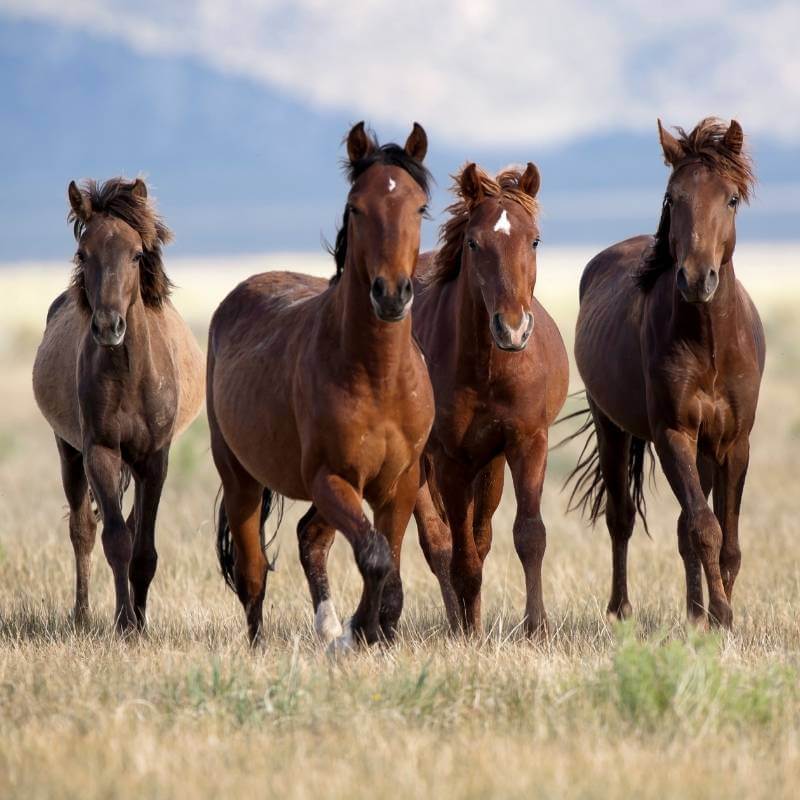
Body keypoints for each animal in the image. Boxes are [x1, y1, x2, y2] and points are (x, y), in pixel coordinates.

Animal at [32, 177, 204, 632]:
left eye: (137, 254)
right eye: (82, 253)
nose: (109, 326)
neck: (129, 374)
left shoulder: (154, 460)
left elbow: (143, 548)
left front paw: (138, 622)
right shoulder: (101, 452)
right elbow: (115, 541)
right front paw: (125, 624)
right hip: (68, 451)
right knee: (83, 530)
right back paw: (82, 616)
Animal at [207, 122, 434, 649]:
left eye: (419, 207)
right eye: (356, 207)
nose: (391, 294)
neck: (378, 376)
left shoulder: (399, 483)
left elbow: (389, 566)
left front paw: (374, 631)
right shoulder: (331, 478)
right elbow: (375, 556)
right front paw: (360, 631)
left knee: (311, 539)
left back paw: (328, 628)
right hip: (241, 479)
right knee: (253, 572)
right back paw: (263, 645)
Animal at [411, 163, 569, 636]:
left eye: (534, 240)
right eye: (473, 242)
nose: (513, 329)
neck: (488, 369)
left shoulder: (526, 442)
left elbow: (529, 536)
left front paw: (536, 628)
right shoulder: (449, 460)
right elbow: (460, 556)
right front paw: (468, 635)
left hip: (490, 466)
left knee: (479, 539)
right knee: (441, 543)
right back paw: (459, 624)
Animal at [566, 118, 765, 628]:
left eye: (730, 199)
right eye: (672, 198)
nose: (696, 278)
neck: (710, 344)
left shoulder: (733, 443)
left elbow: (727, 540)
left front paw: (716, 614)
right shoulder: (673, 433)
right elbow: (705, 528)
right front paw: (721, 616)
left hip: (704, 449)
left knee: (679, 527)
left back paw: (693, 613)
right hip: (612, 427)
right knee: (621, 518)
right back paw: (621, 609)